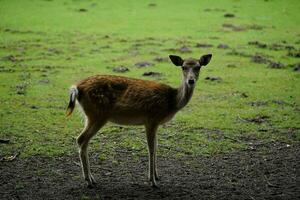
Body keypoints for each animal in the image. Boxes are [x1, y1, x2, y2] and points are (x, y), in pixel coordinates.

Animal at [66, 53, 211, 188]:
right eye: (183, 67)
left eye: (198, 67)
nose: (191, 81)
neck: (172, 102)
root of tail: (77, 88)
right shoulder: (151, 119)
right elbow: (151, 148)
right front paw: (152, 181)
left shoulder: (155, 123)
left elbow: (156, 147)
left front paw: (156, 176)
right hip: (97, 114)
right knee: (81, 139)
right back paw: (88, 180)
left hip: (91, 115)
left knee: (82, 140)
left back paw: (92, 179)